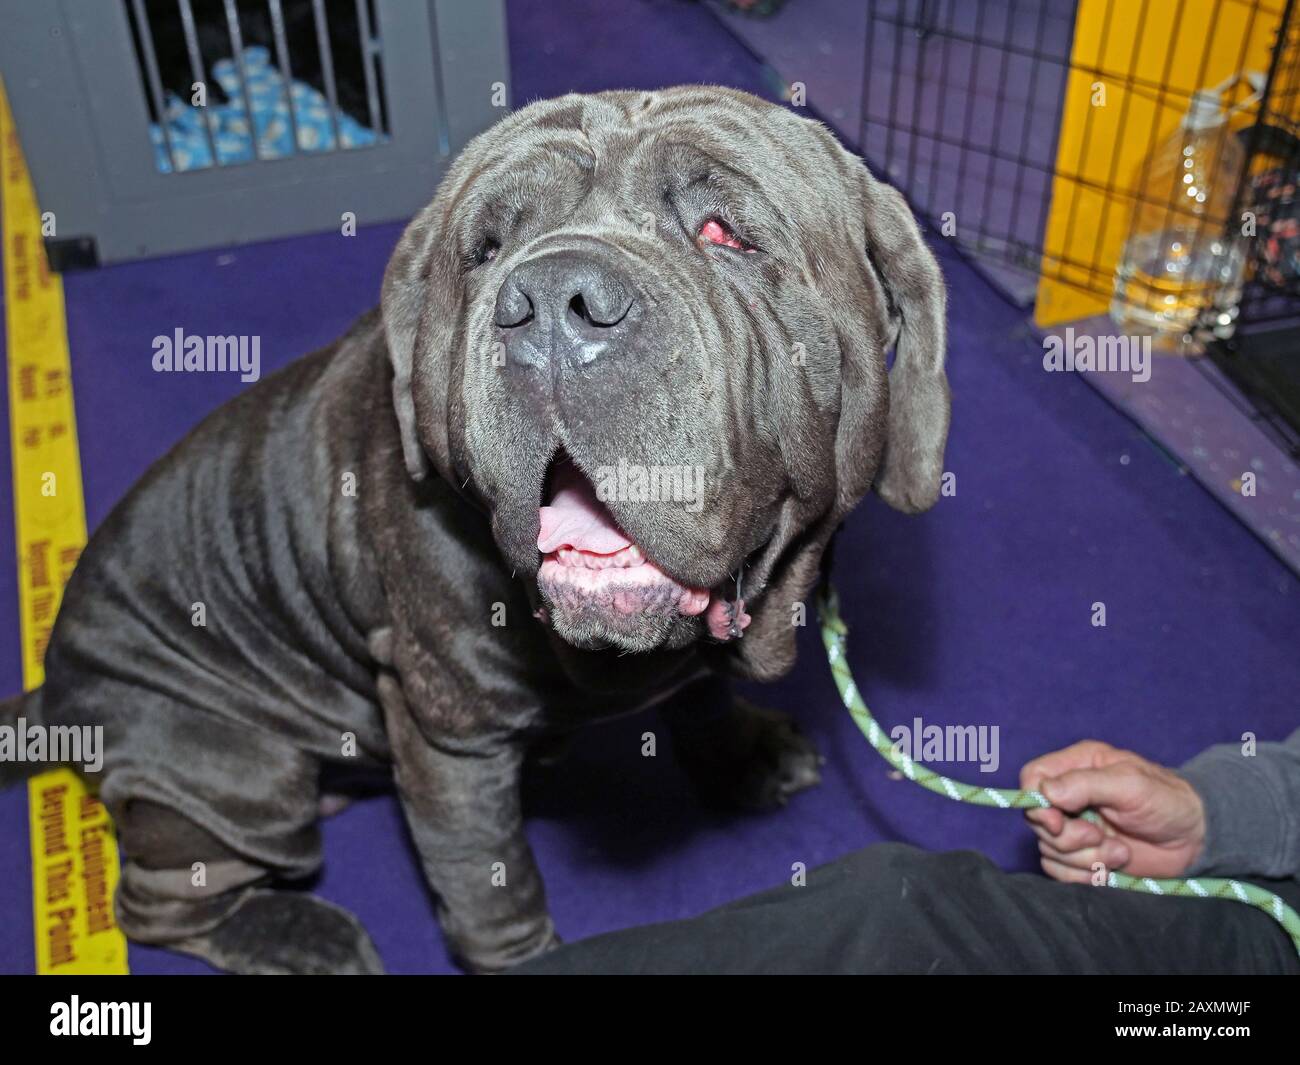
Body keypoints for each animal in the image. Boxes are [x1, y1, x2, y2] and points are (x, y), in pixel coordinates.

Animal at [5, 87, 951, 972]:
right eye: (487, 250)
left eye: (726, 233)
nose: (556, 300)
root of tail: (59, 693)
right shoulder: (446, 732)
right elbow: (489, 881)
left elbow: (702, 695)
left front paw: (741, 751)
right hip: (243, 777)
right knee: (160, 901)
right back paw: (301, 936)